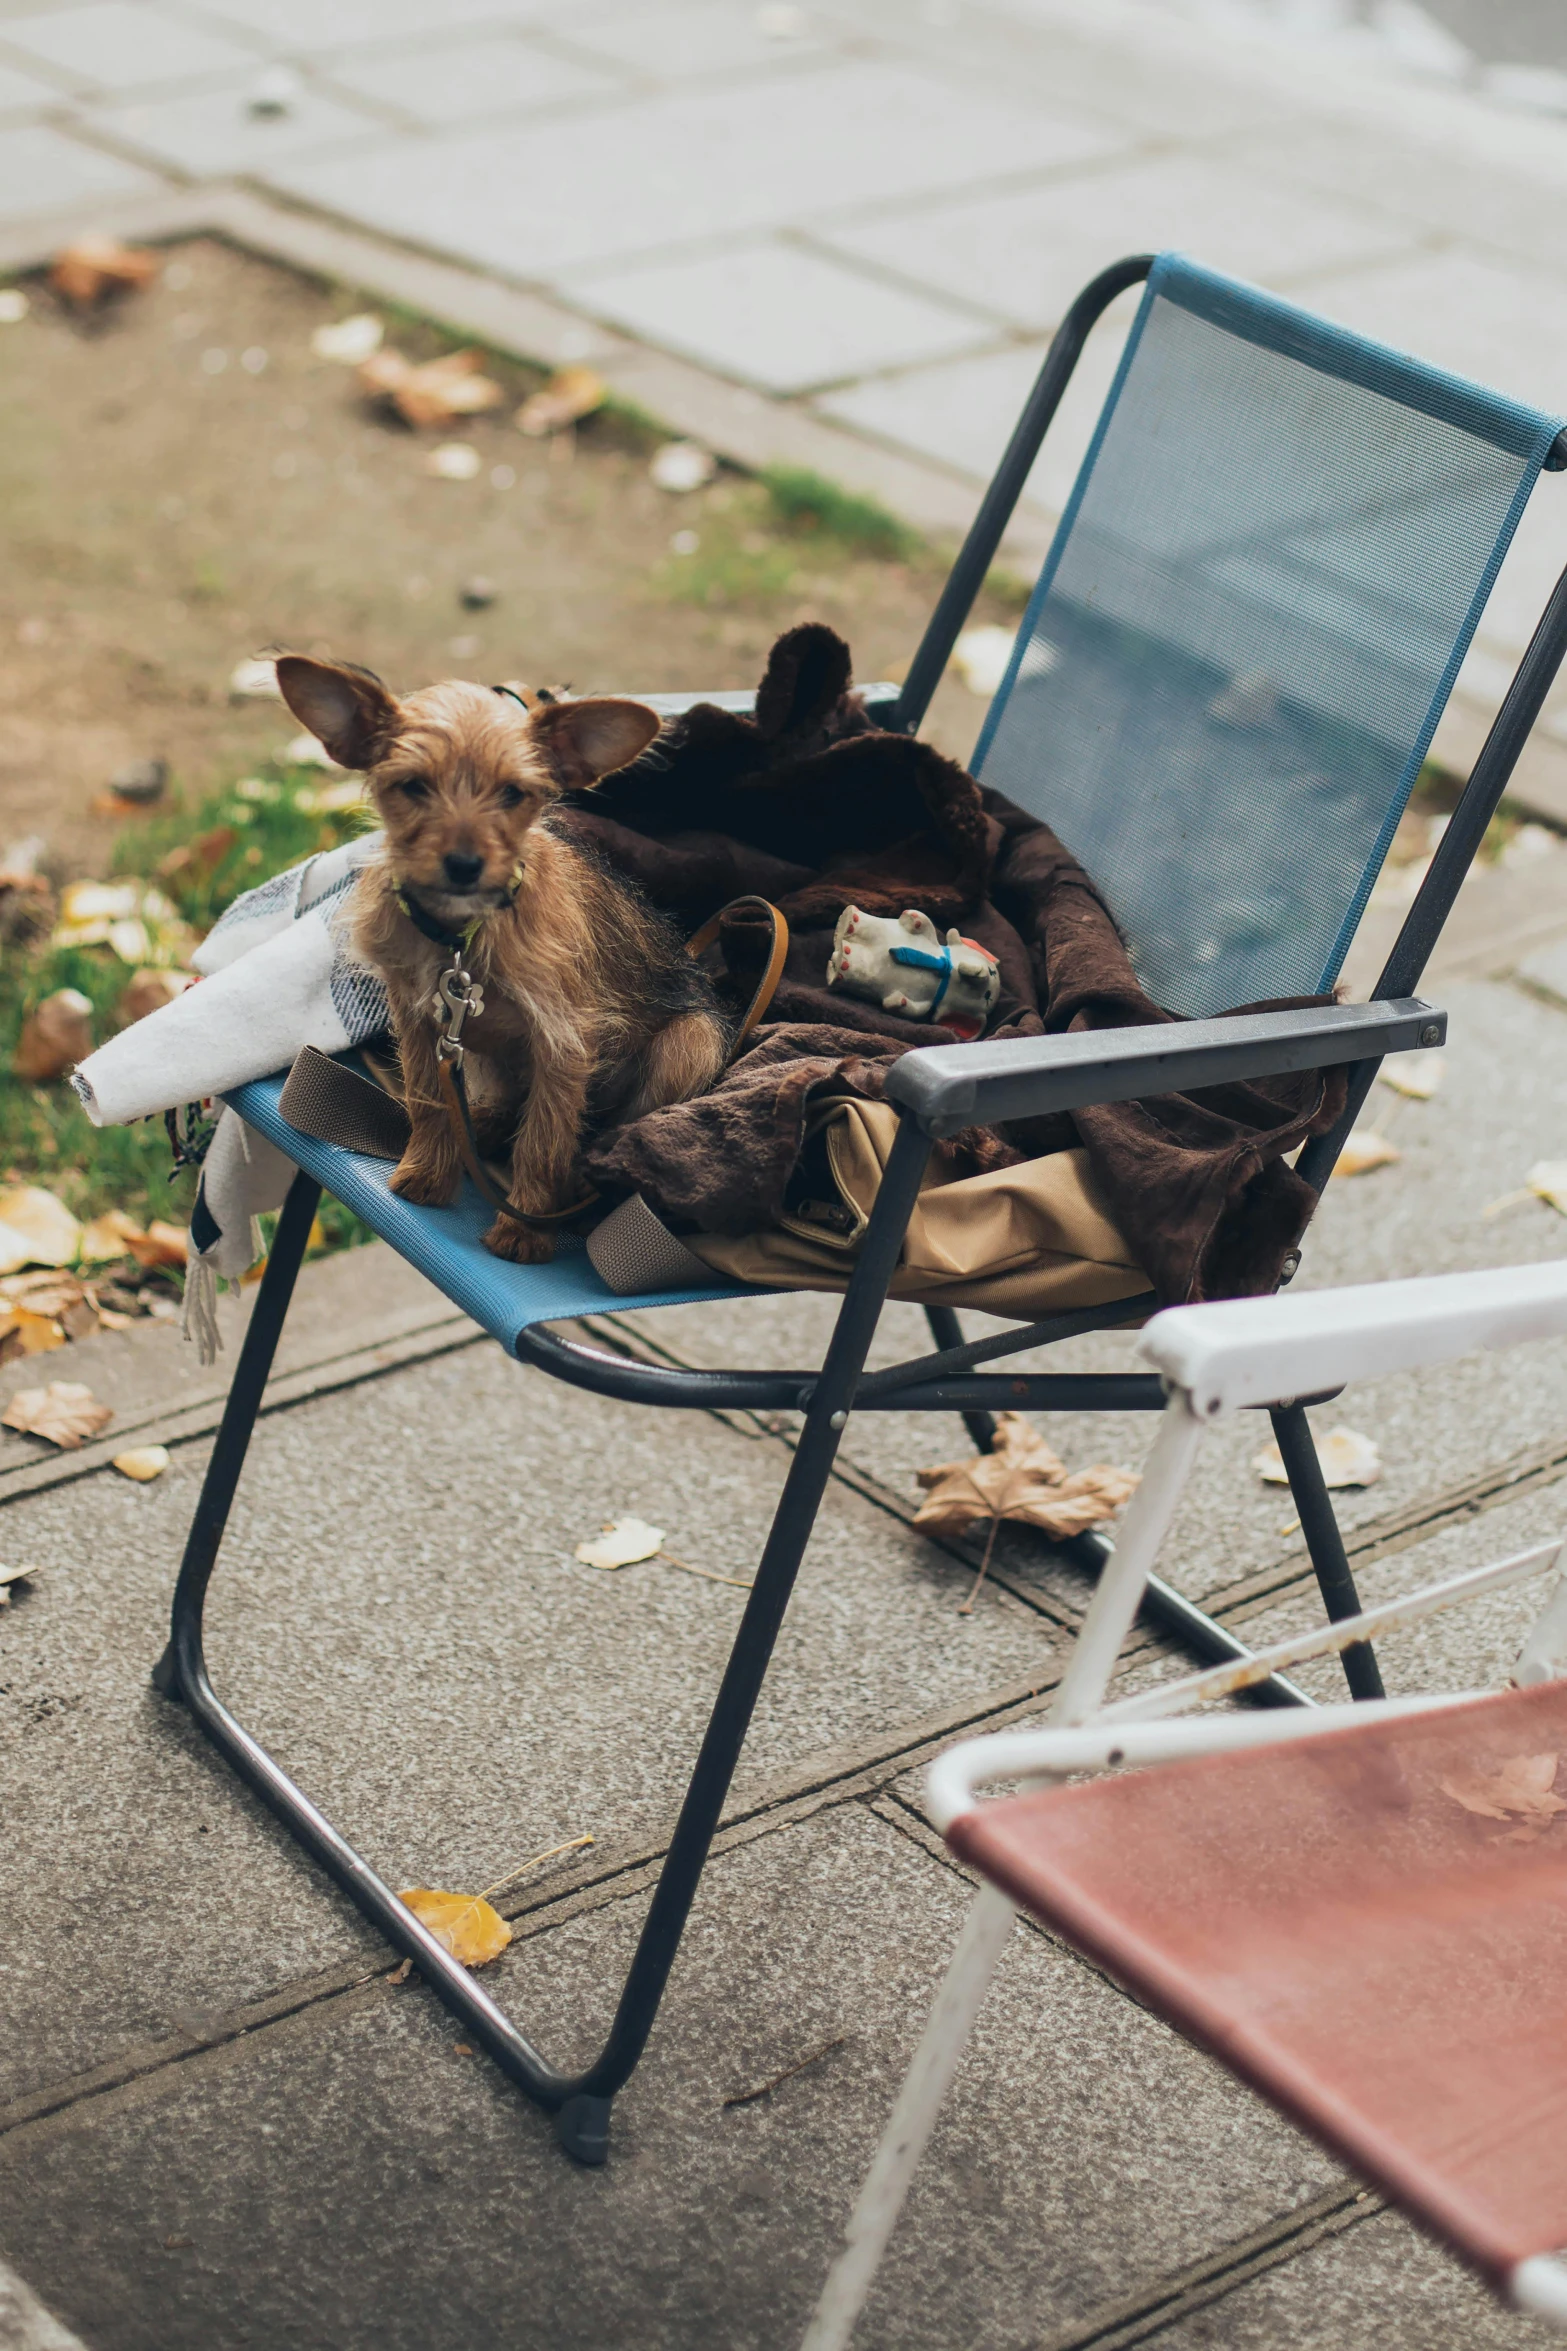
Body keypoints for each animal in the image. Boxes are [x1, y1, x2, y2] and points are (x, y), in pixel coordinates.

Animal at [274, 653, 728, 1260]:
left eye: (513, 794)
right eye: (414, 786)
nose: (465, 864)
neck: (459, 937)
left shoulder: (564, 1043)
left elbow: (544, 1141)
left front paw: (524, 1232)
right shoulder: (419, 1021)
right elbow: (429, 1100)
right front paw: (427, 1173)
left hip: (691, 1043)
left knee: (609, 1136)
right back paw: (484, 1129)